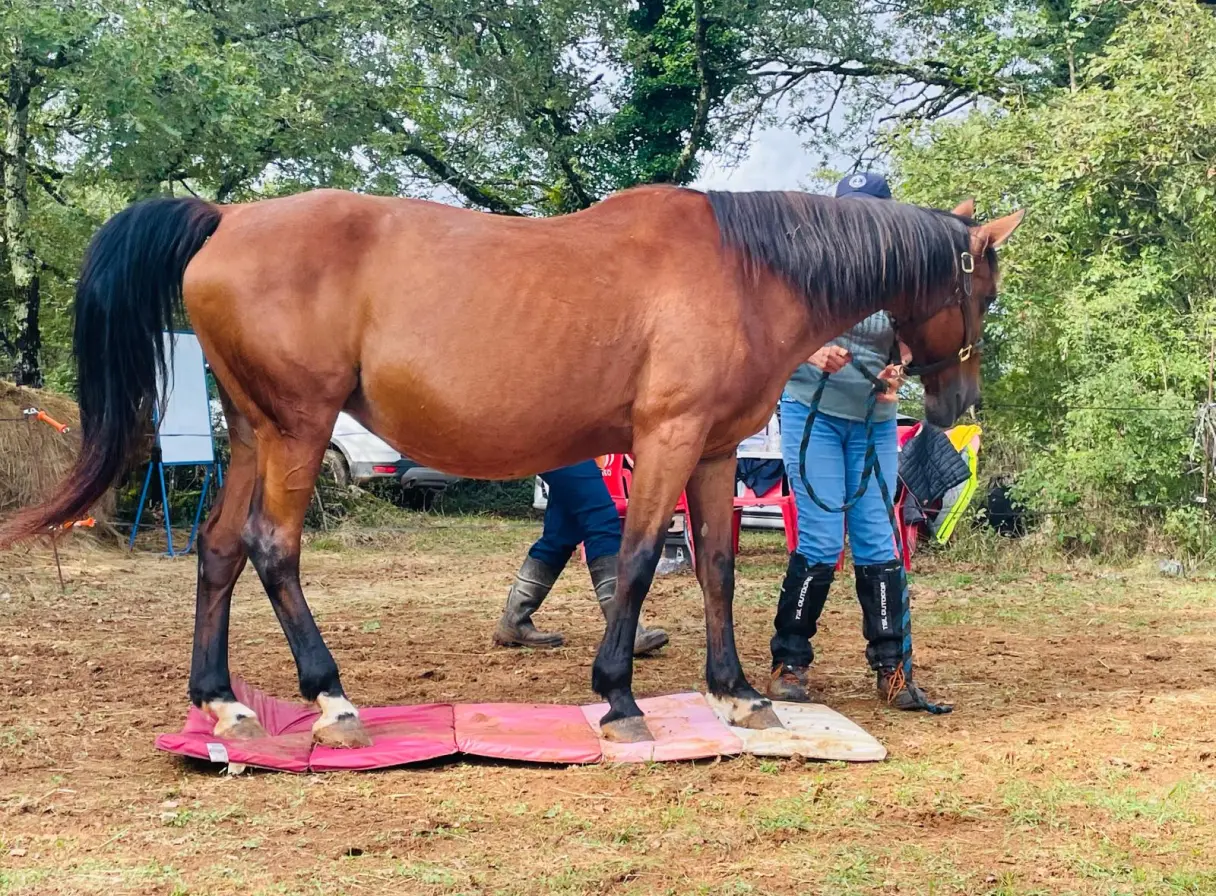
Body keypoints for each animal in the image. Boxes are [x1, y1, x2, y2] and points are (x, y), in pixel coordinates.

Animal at [0, 186, 1023, 746]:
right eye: (984, 291)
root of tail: (225, 218)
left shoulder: (716, 450)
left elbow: (722, 570)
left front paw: (737, 694)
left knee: (217, 551)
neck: (743, 271)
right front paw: (619, 696)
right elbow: (641, 561)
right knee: (271, 548)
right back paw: (329, 699)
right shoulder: (667, 439)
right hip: (297, 429)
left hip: (254, 433)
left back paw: (221, 705)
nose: (959, 407)